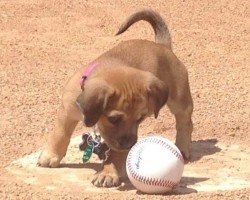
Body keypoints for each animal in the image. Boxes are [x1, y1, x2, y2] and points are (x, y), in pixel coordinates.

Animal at [37, 9, 193, 188]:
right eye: (113, 119)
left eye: (140, 118)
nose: (129, 145)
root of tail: (162, 45)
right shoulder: (67, 111)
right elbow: (60, 134)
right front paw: (50, 156)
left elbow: (114, 154)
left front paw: (107, 173)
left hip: (179, 99)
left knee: (185, 121)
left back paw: (182, 147)